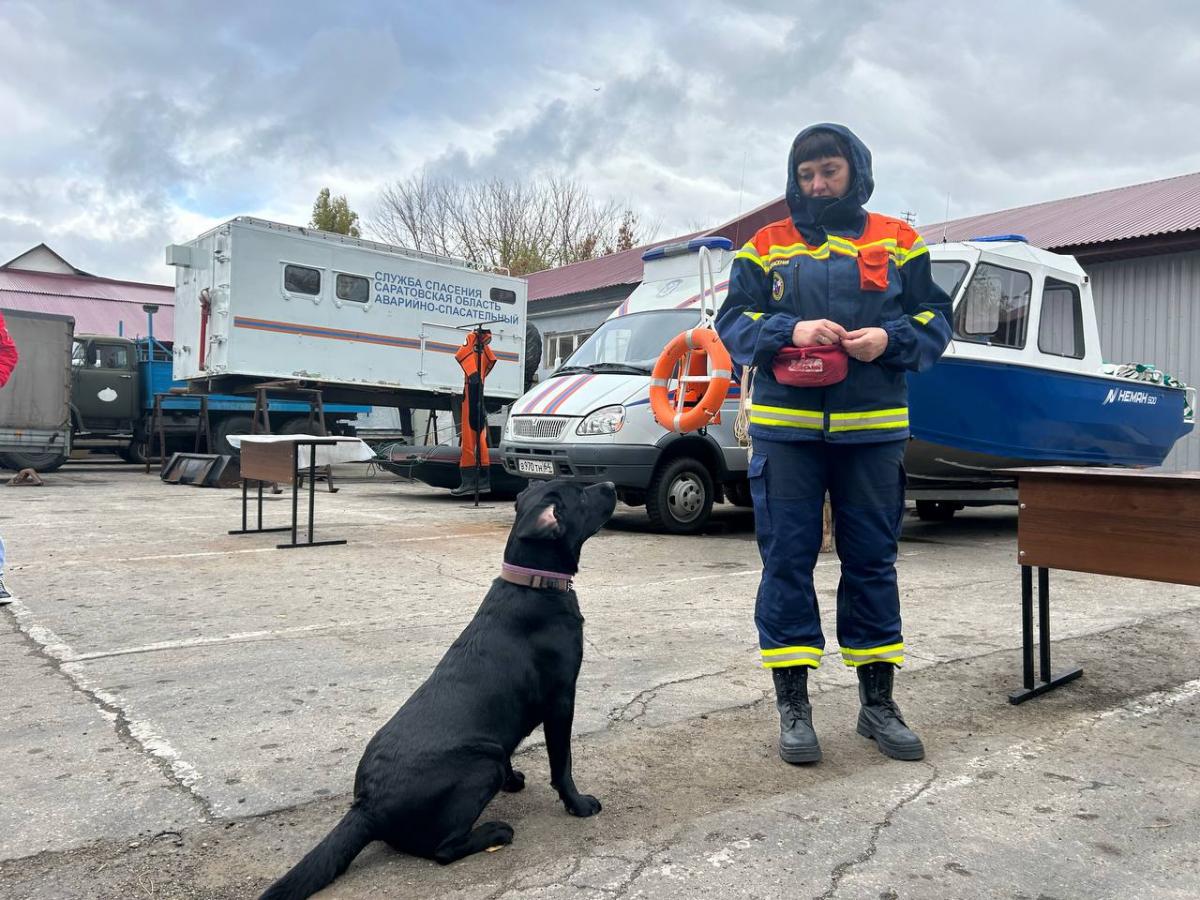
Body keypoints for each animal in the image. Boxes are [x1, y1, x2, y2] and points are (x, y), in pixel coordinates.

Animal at [262, 482, 619, 897]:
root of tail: (367, 806)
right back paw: (495, 832)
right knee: (443, 850)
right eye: (581, 494)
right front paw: (578, 804)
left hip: (489, 755)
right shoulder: (562, 699)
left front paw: (515, 781)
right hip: (483, 762)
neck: (534, 585)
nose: (611, 485)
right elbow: (563, 763)